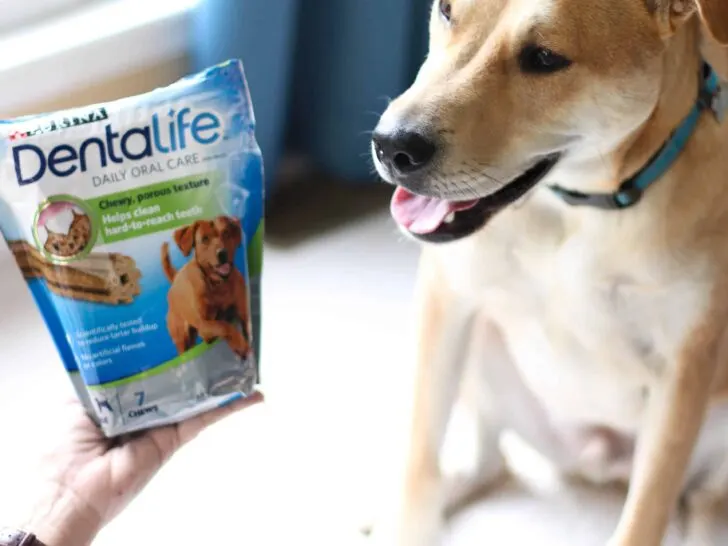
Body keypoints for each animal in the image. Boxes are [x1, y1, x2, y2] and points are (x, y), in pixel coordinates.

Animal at [161, 216, 251, 359]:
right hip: (182, 340)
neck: (218, 284)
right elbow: (223, 326)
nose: (222, 253)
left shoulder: (242, 310)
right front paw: (239, 344)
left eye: (226, 233)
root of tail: (176, 277)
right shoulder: (205, 325)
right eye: (204, 239)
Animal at [370, 1, 728, 545]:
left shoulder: (684, 367)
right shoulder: (446, 301)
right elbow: (421, 457)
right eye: (447, 11)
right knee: (490, 460)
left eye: (544, 58)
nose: (392, 146)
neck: (581, 207)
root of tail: (595, 459)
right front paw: (409, 522)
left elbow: (646, 512)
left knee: (704, 502)